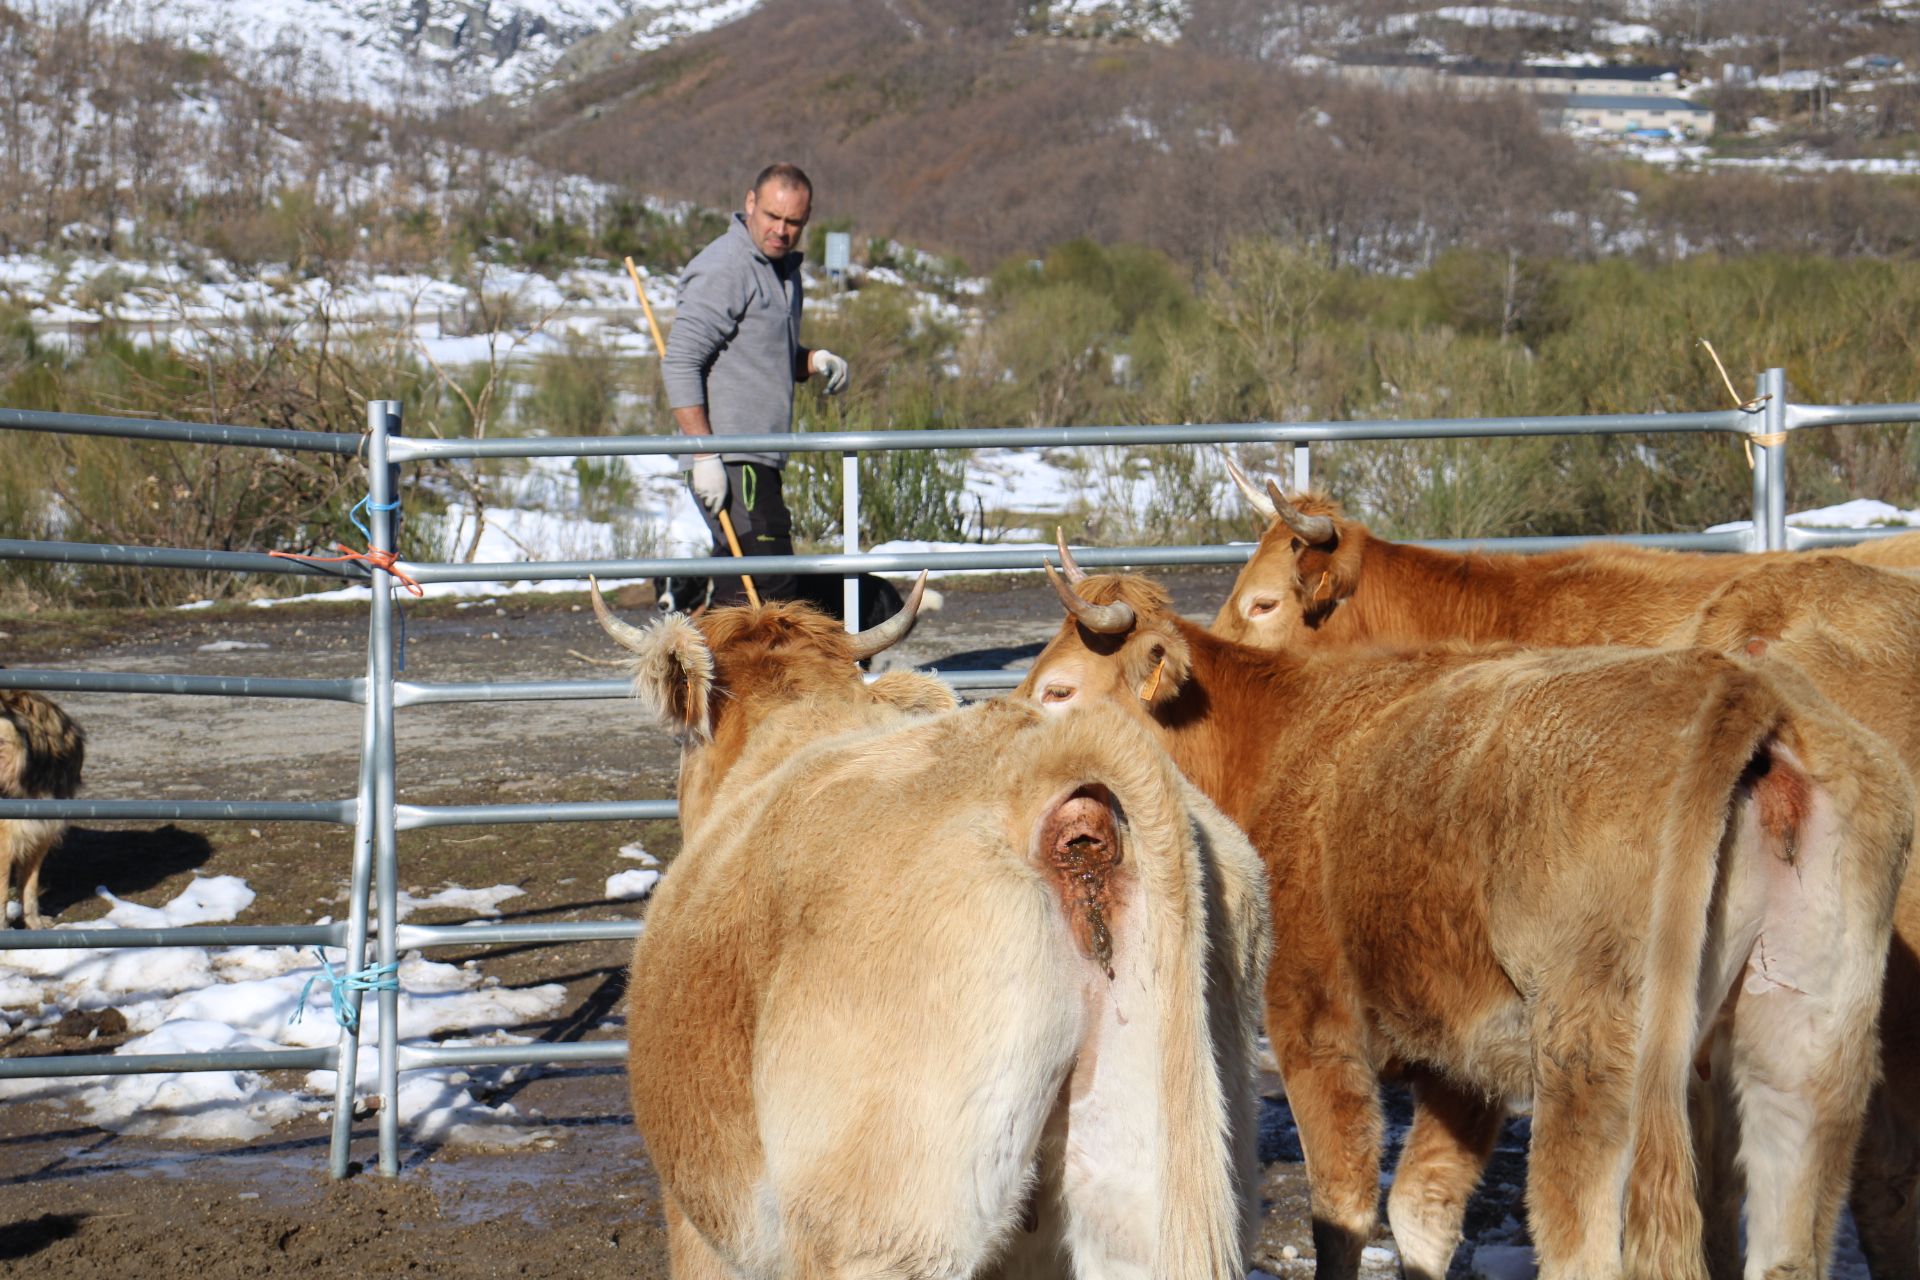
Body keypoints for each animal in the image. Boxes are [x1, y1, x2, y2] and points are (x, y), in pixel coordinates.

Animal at [1013, 564, 1912, 1280]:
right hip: (1804, 1045)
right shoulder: (1464, 1060)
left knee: (1582, 1245)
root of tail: (1736, 686)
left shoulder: (1314, 1023)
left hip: (1595, 1063)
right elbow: (1422, 1212)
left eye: (1058, 690)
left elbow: (1343, 1207)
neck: (1279, 739)